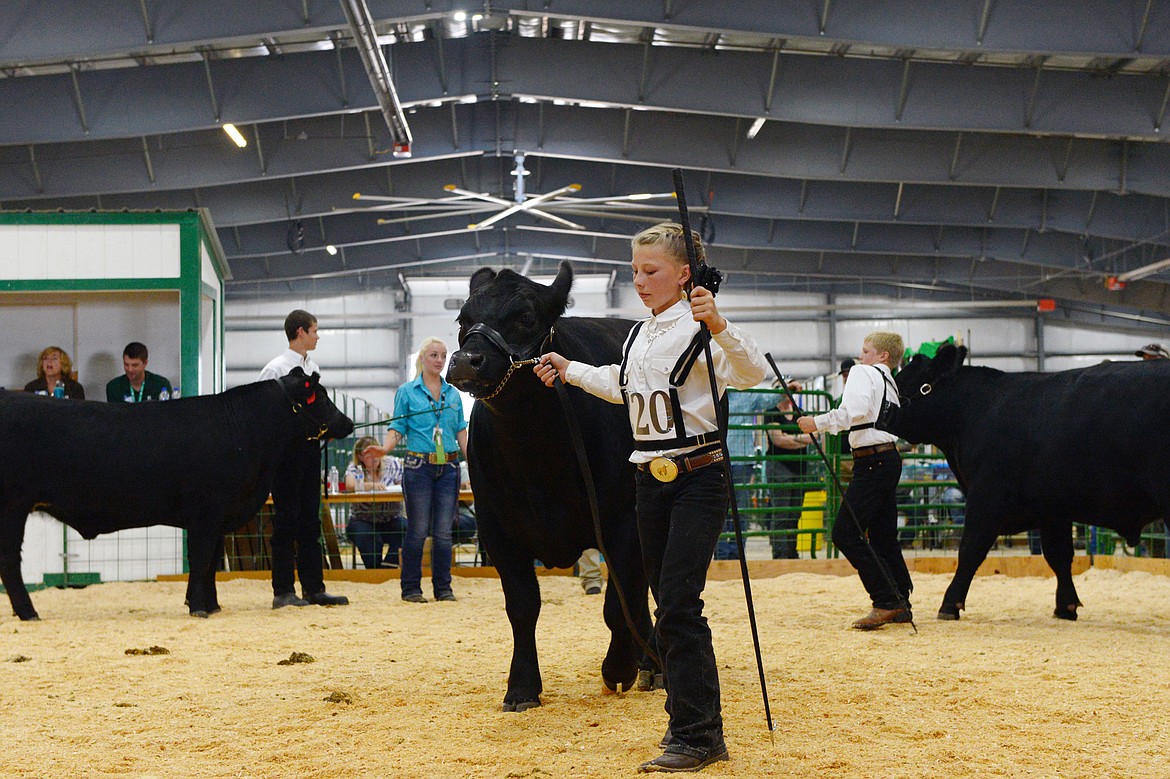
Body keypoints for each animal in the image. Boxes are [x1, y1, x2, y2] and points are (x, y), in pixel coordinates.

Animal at [0, 369, 351, 617]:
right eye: (319, 398)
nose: (348, 422)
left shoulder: (219, 515)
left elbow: (211, 561)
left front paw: (212, 605)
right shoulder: (207, 510)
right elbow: (201, 557)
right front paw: (198, 607)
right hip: (13, 504)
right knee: (9, 560)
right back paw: (29, 612)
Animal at [442, 260, 655, 711]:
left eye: (526, 317)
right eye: (463, 319)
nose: (467, 360)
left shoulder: (622, 522)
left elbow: (617, 603)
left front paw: (618, 668)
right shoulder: (497, 530)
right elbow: (523, 607)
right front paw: (521, 687)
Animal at [889, 346, 1165, 617]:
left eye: (905, 379)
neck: (973, 410)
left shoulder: (986, 495)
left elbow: (970, 549)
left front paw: (949, 605)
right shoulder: (1052, 509)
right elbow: (1058, 554)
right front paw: (1066, 607)